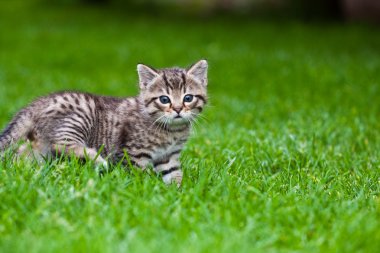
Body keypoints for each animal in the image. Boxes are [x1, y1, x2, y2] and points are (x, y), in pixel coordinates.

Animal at [0, 60, 208, 185]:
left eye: (188, 98)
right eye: (164, 99)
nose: (178, 109)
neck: (171, 131)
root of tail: (37, 103)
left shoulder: (168, 156)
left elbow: (174, 175)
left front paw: (179, 192)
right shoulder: (133, 152)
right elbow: (138, 172)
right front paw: (143, 187)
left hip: (40, 146)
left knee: (24, 152)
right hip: (80, 116)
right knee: (61, 144)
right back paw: (96, 158)